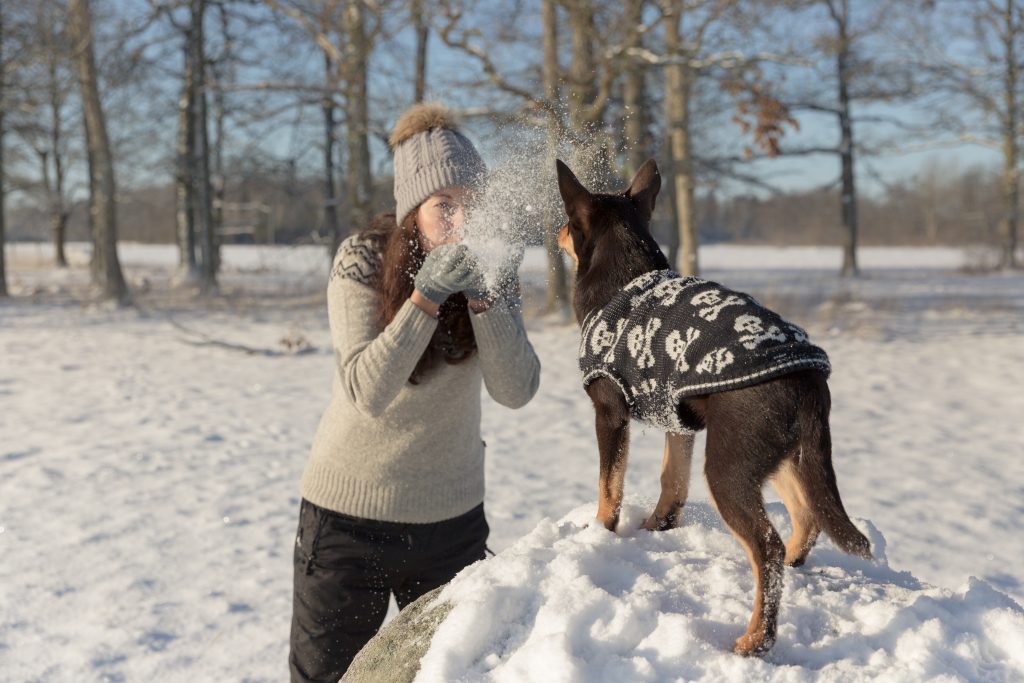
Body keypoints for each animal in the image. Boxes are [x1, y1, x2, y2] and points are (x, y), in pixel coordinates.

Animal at [557, 157, 868, 655]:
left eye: (569, 223)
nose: (556, 232)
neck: (625, 275)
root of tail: (807, 376)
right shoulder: (677, 418)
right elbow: (672, 481)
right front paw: (657, 528)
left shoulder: (609, 414)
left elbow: (609, 486)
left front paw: (601, 532)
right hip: (778, 451)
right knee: (806, 516)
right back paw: (793, 568)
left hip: (729, 465)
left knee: (767, 548)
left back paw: (755, 640)